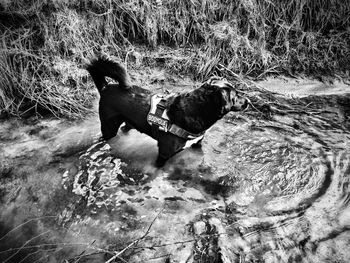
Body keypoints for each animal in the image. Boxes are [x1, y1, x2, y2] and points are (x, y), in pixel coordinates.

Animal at [86, 57, 247, 167]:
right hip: (108, 126)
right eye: (235, 96)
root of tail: (106, 87)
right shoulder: (164, 154)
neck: (195, 110)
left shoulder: (196, 145)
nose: (248, 102)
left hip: (129, 122)